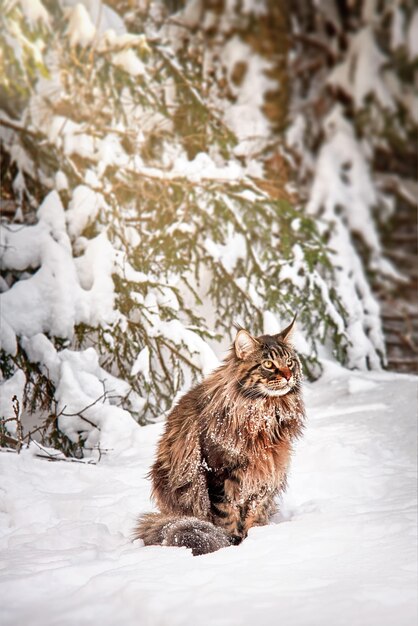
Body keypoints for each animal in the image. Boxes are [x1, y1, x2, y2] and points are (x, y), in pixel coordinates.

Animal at [136, 320, 306, 552]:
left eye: (290, 362)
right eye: (268, 364)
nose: (289, 376)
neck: (264, 413)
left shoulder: (265, 474)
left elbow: (255, 515)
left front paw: (257, 538)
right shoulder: (218, 473)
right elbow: (227, 518)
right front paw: (231, 545)